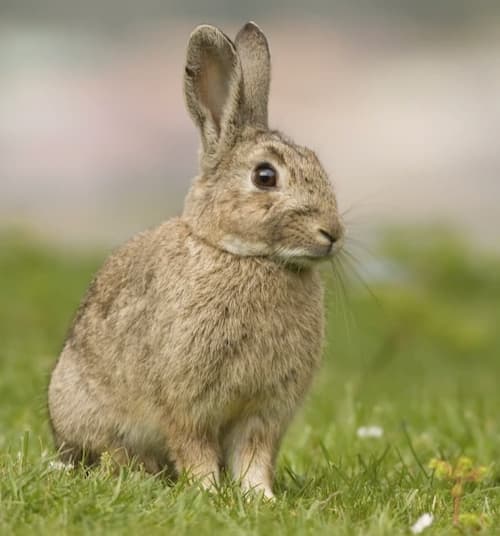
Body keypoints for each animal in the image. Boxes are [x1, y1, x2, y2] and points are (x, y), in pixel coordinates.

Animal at [47, 21, 344, 498]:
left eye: (317, 162)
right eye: (265, 176)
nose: (332, 233)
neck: (246, 256)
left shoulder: (264, 412)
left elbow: (253, 456)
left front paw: (260, 498)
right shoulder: (187, 402)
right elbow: (194, 447)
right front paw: (208, 492)